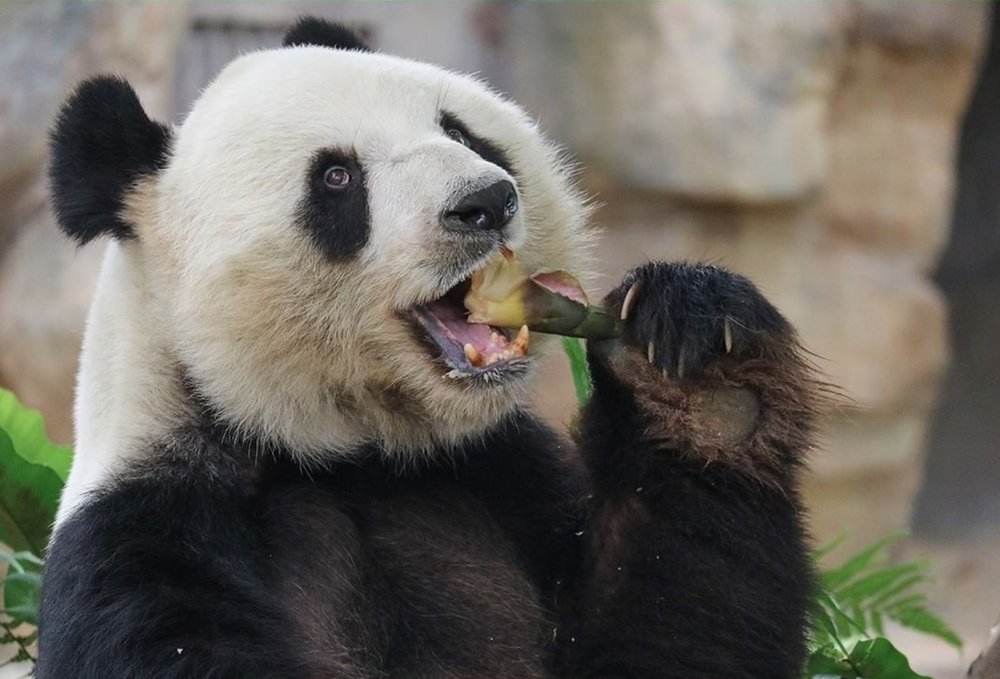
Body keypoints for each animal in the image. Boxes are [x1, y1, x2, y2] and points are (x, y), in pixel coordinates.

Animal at [38, 17, 818, 679]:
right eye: (337, 177)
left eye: (463, 132)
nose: (486, 201)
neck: (342, 453)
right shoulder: (142, 545)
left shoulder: (499, 475)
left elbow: (673, 640)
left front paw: (705, 376)